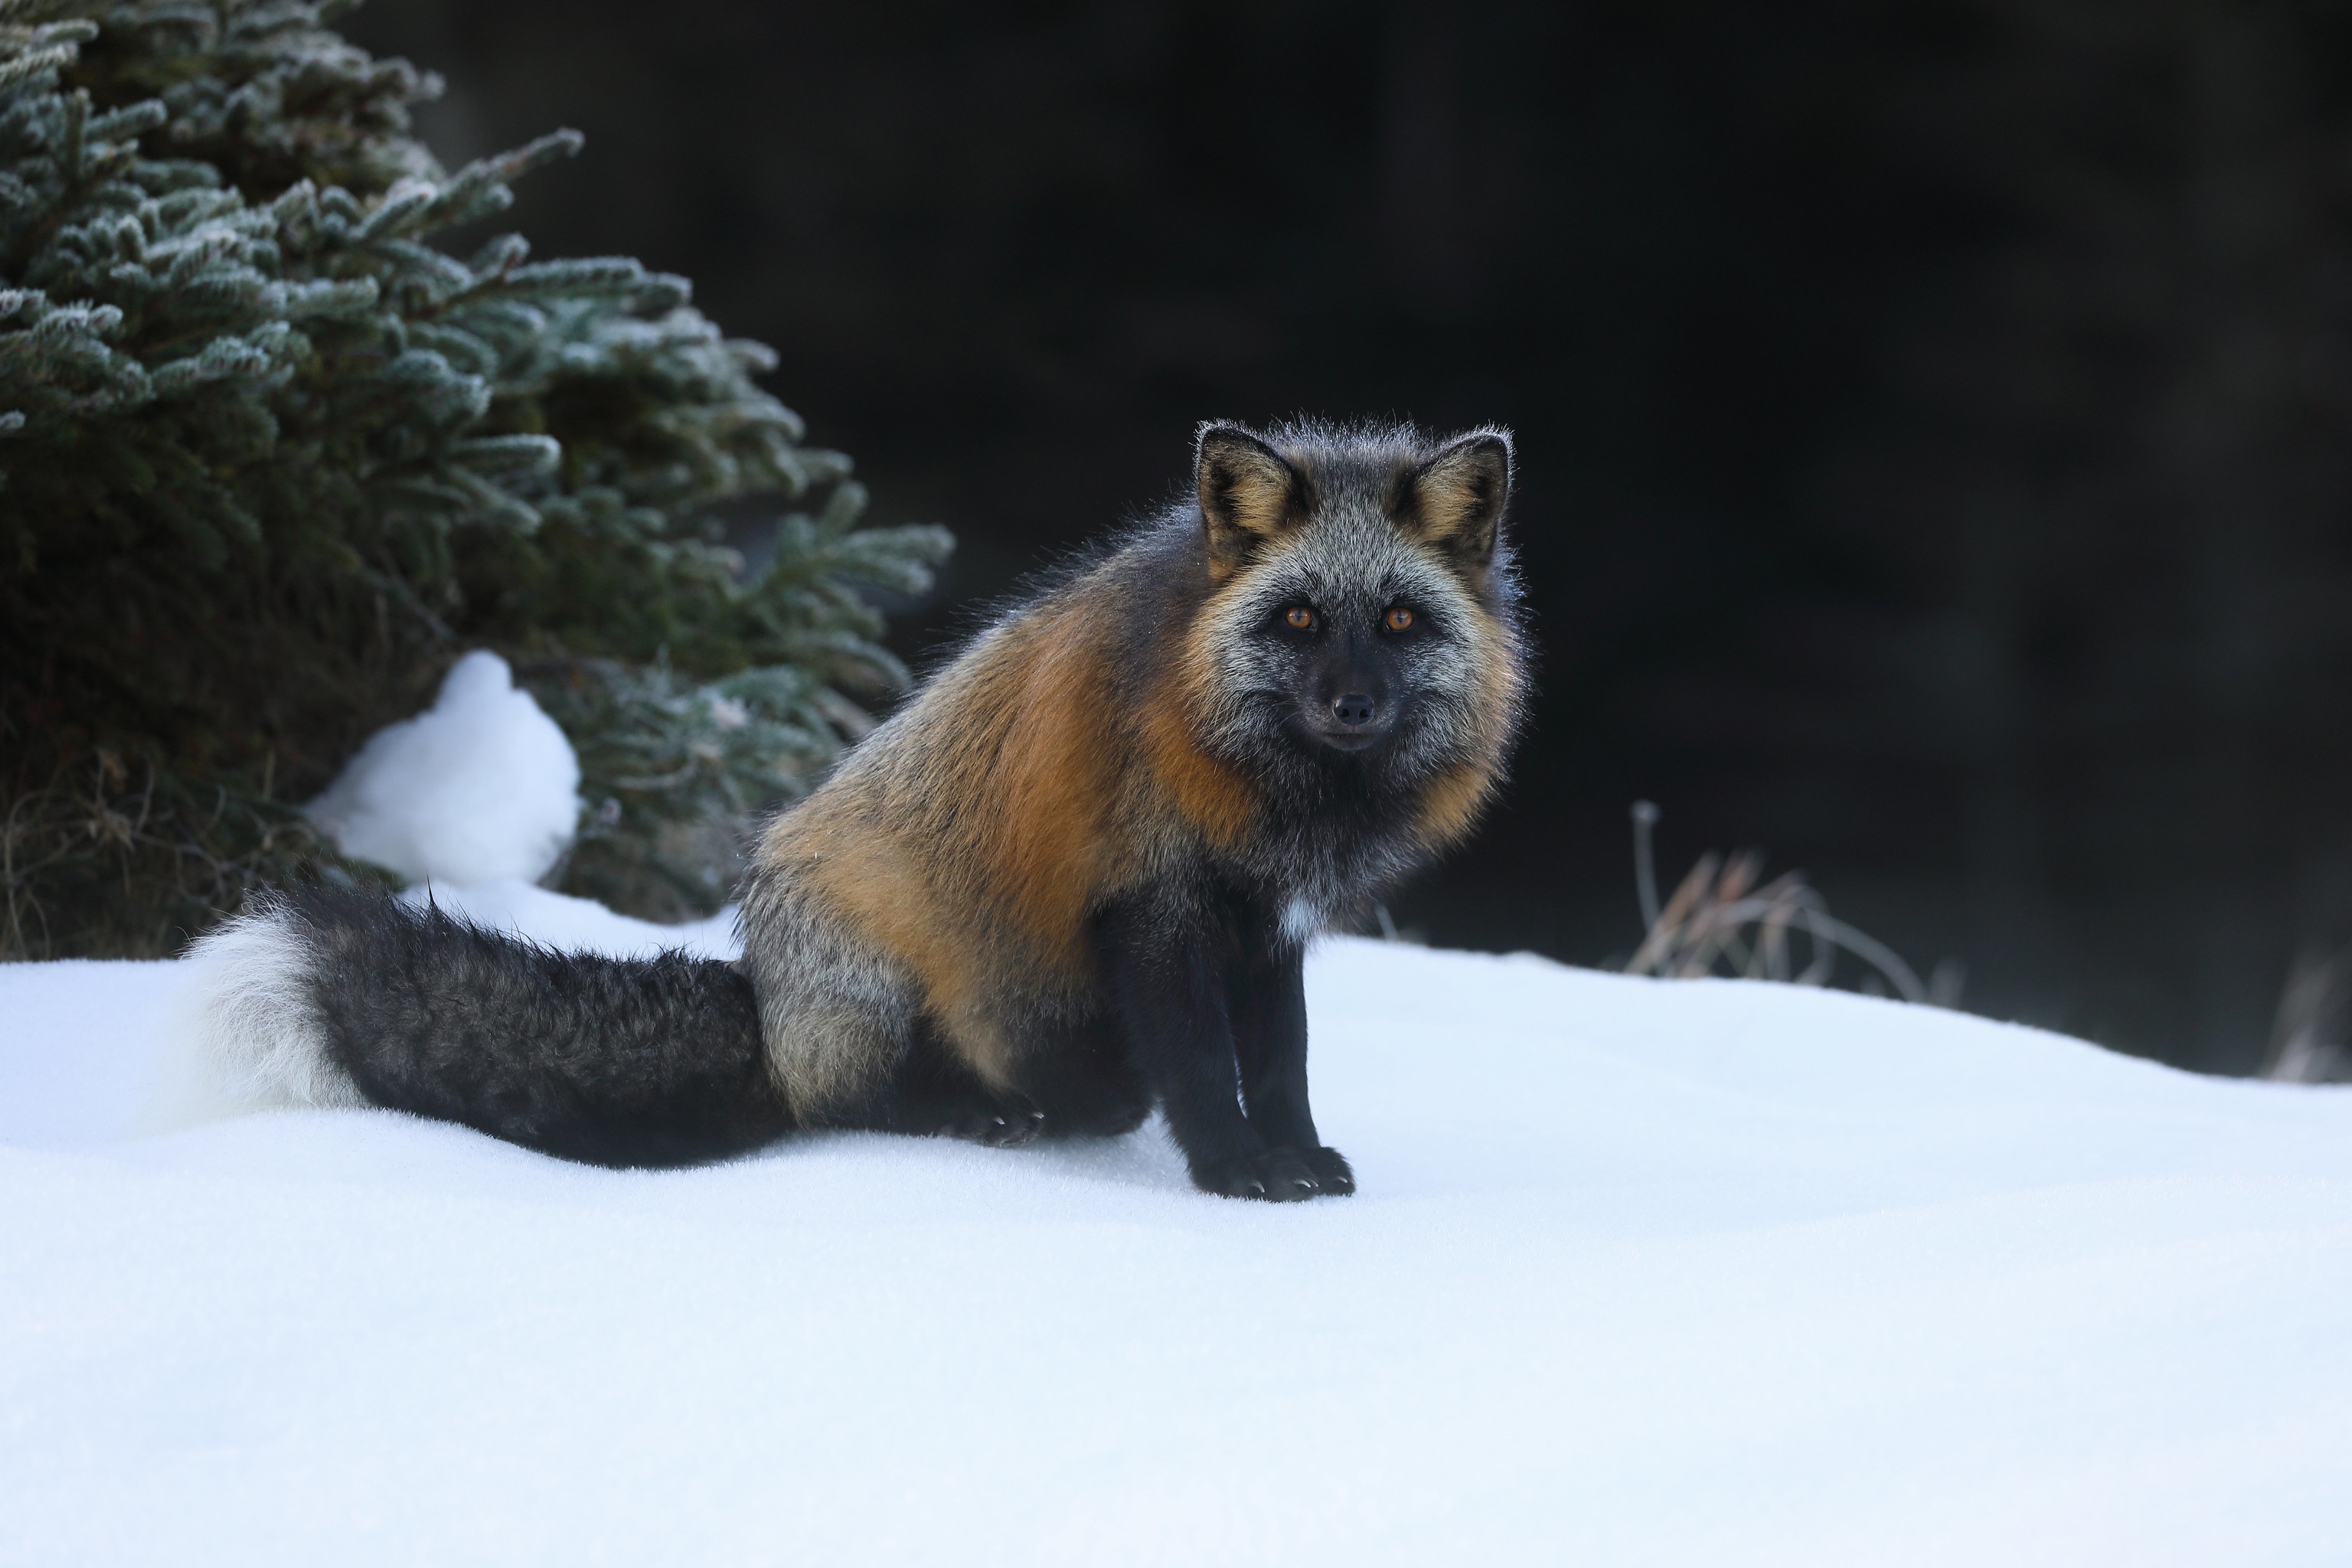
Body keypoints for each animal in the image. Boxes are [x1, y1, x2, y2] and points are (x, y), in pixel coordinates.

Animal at [169, 418, 1529, 1199]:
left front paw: (1295, 1156)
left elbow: (1283, 1064)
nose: (1354, 703)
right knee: (852, 1106)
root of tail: (761, 995)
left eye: (1396, 621)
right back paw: (981, 1114)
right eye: (1297, 618)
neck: (1279, 786)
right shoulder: (1156, 910)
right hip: (882, 988)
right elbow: (1204, 1073)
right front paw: (1239, 1177)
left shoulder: (1267, 924)